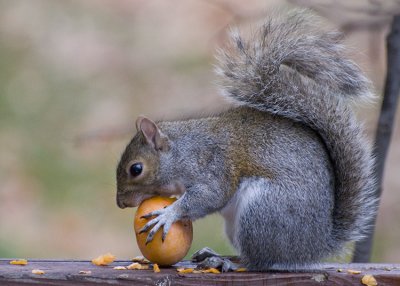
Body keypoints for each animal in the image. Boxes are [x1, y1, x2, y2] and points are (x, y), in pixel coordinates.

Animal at [115, 9, 378, 270]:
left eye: (136, 169)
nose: (120, 203)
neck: (182, 150)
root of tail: (315, 246)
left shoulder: (212, 165)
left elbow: (210, 195)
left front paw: (168, 214)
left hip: (263, 212)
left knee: (259, 261)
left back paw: (224, 261)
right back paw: (218, 256)